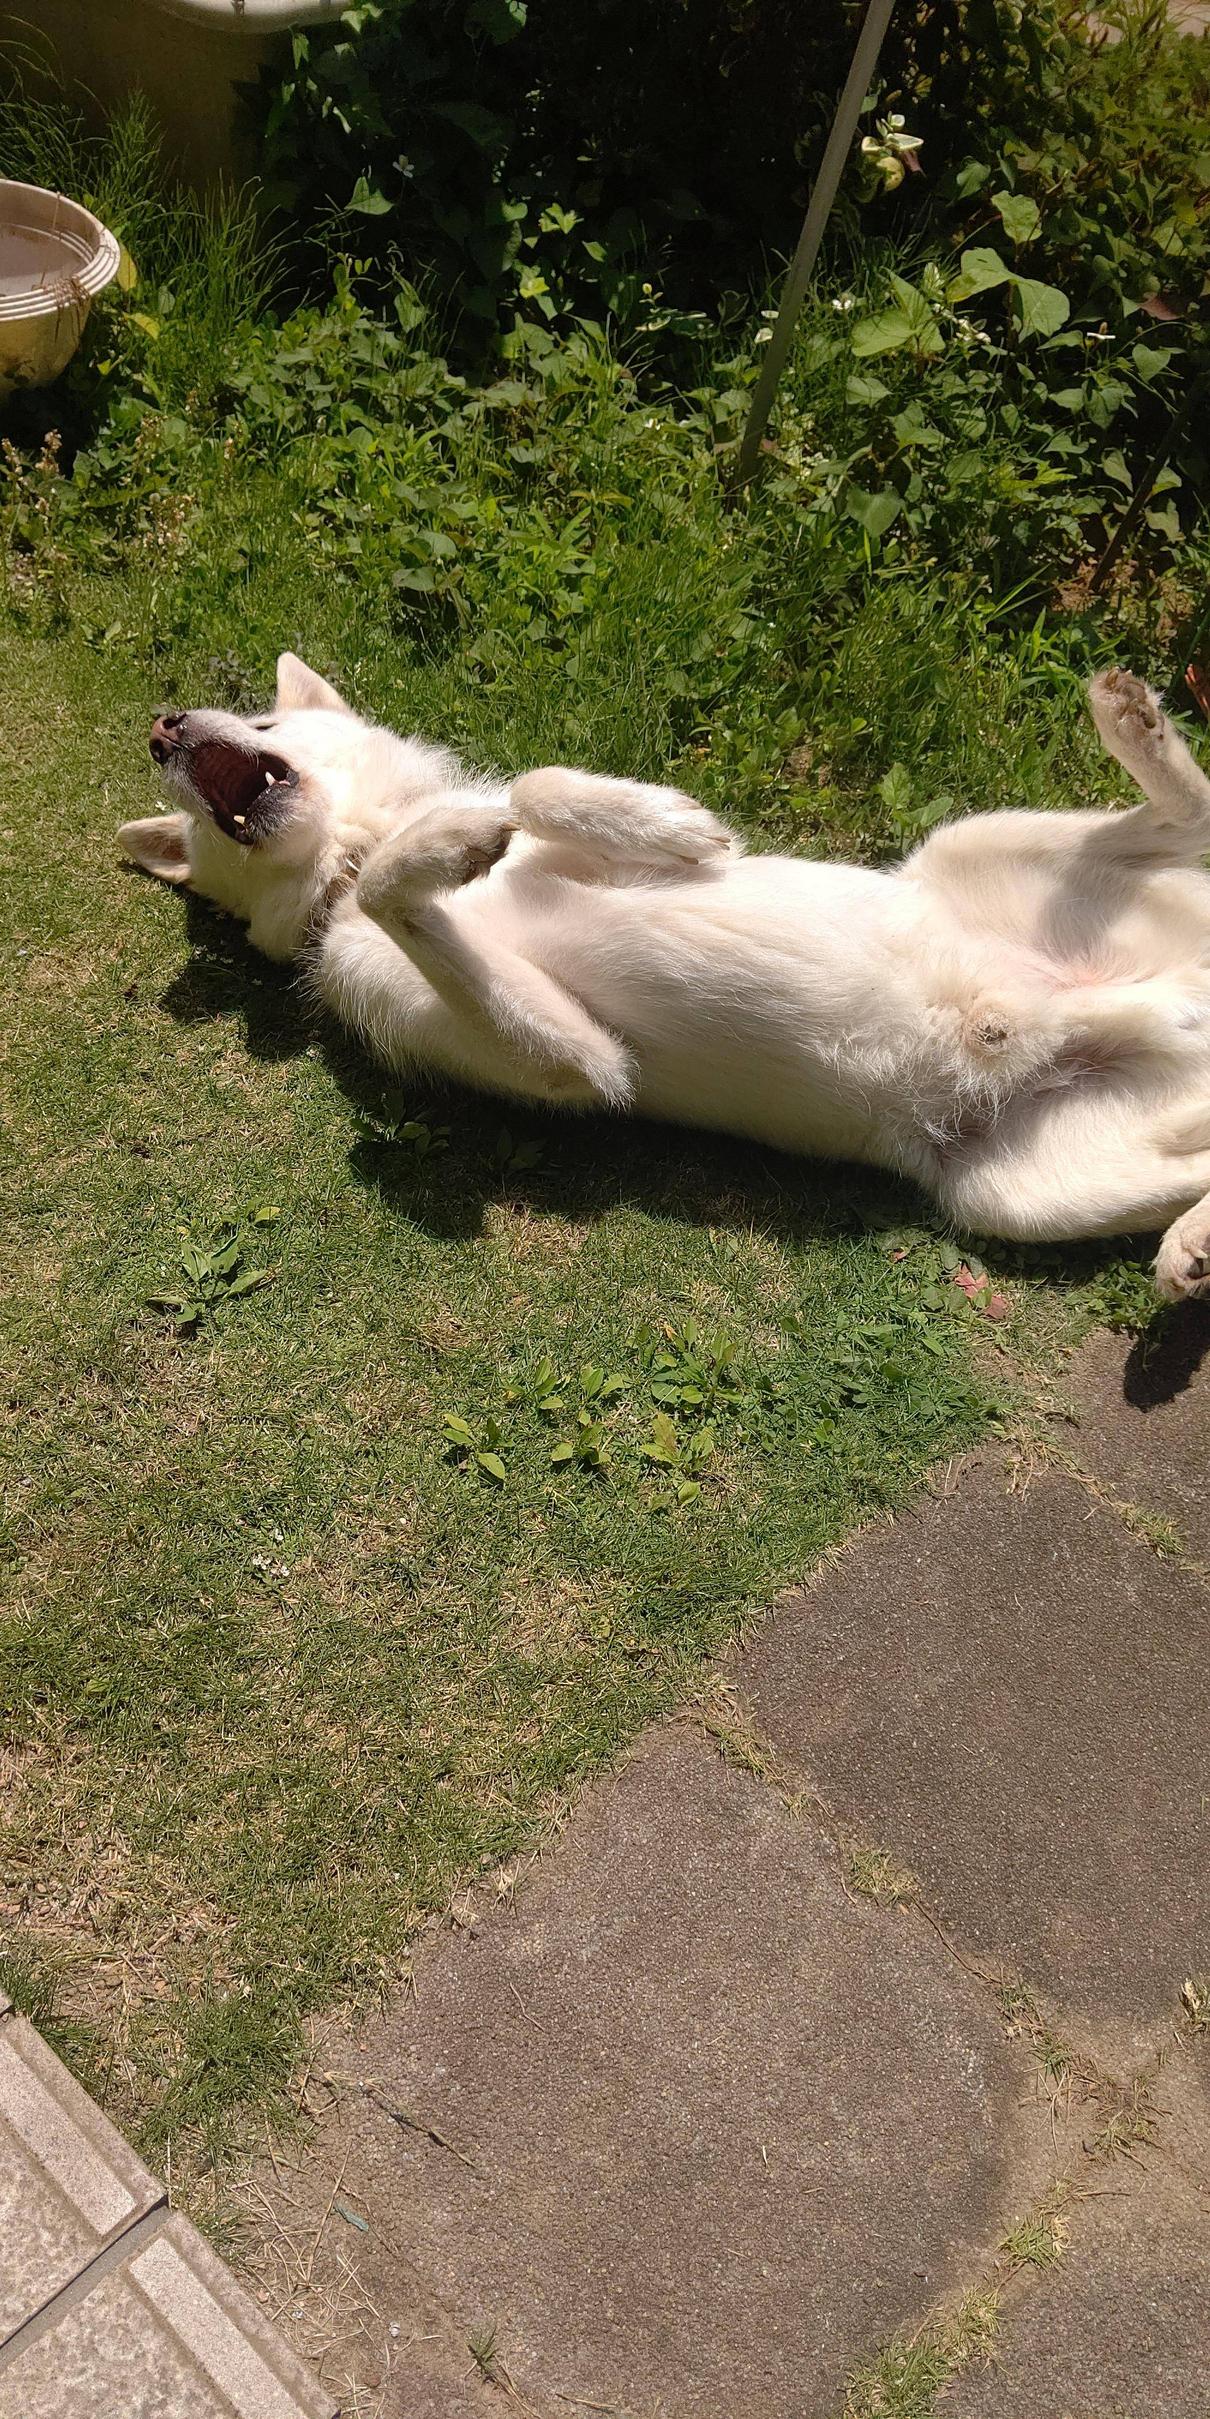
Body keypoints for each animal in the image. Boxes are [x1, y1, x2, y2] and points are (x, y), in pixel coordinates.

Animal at [119, 653, 1210, 1299]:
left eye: (265, 722)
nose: (161, 727)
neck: (349, 852)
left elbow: (531, 785)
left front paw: (662, 824)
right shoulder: (580, 1060)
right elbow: (411, 884)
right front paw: (448, 848)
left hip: (968, 847)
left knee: (1185, 820)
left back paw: (1134, 722)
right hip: (1003, 1193)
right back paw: (1188, 1249)